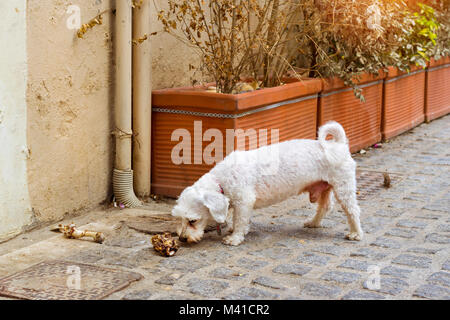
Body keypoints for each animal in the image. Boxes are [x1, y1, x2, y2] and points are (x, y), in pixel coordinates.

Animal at [171, 121, 364, 246]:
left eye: (193, 221)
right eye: (179, 218)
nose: (182, 239)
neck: (222, 179)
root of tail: (339, 145)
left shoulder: (244, 201)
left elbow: (240, 220)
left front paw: (234, 238)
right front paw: (233, 230)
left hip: (344, 187)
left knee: (353, 211)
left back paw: (355, 233)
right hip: (324, 187)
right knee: (325, 207)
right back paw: (314, 223)